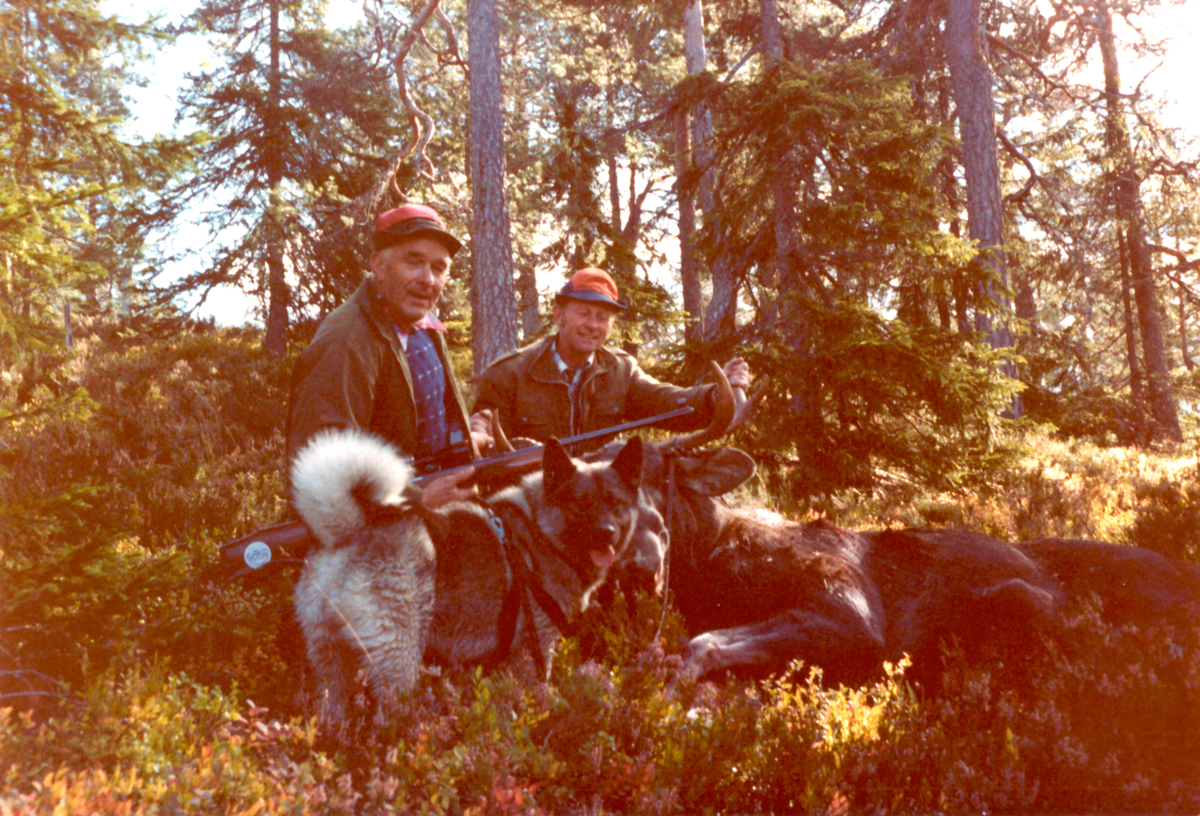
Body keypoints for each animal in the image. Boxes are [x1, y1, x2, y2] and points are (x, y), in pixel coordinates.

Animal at [291, 424, 648, 724]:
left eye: (615, 502)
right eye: (580, 503)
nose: (606, 533)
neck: (541, 528)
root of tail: (350, 530)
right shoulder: (538, 645)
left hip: (332, 665)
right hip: (399, 659)